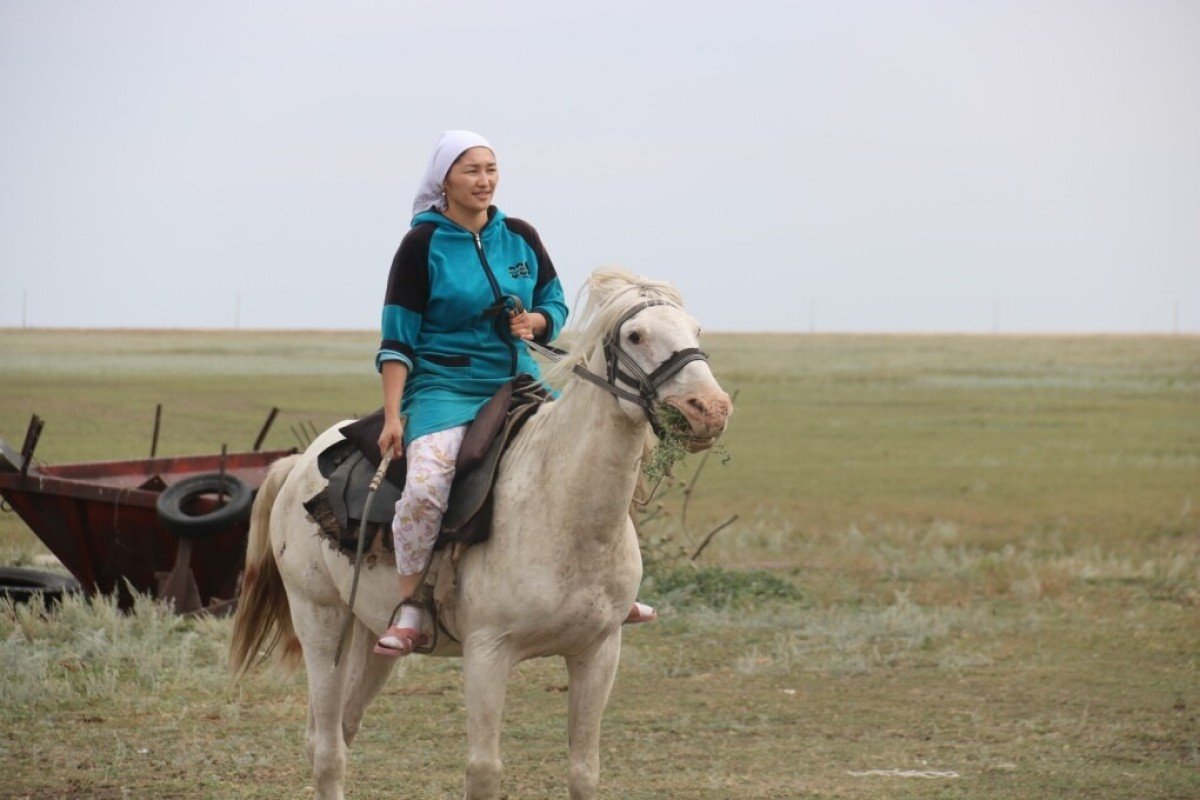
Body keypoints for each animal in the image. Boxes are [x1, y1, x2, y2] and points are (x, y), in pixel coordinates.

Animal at [228, 268, 724, 800]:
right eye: (635, 336)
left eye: (696, 330)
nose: (711, 409)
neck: (563, 506)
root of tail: (299, 464)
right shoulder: (488, 653)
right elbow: (484, 771)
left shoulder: (598, 652)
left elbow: (584, 771)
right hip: (321, 624)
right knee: (327, 751)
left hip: (371, 635)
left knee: (339, 728)